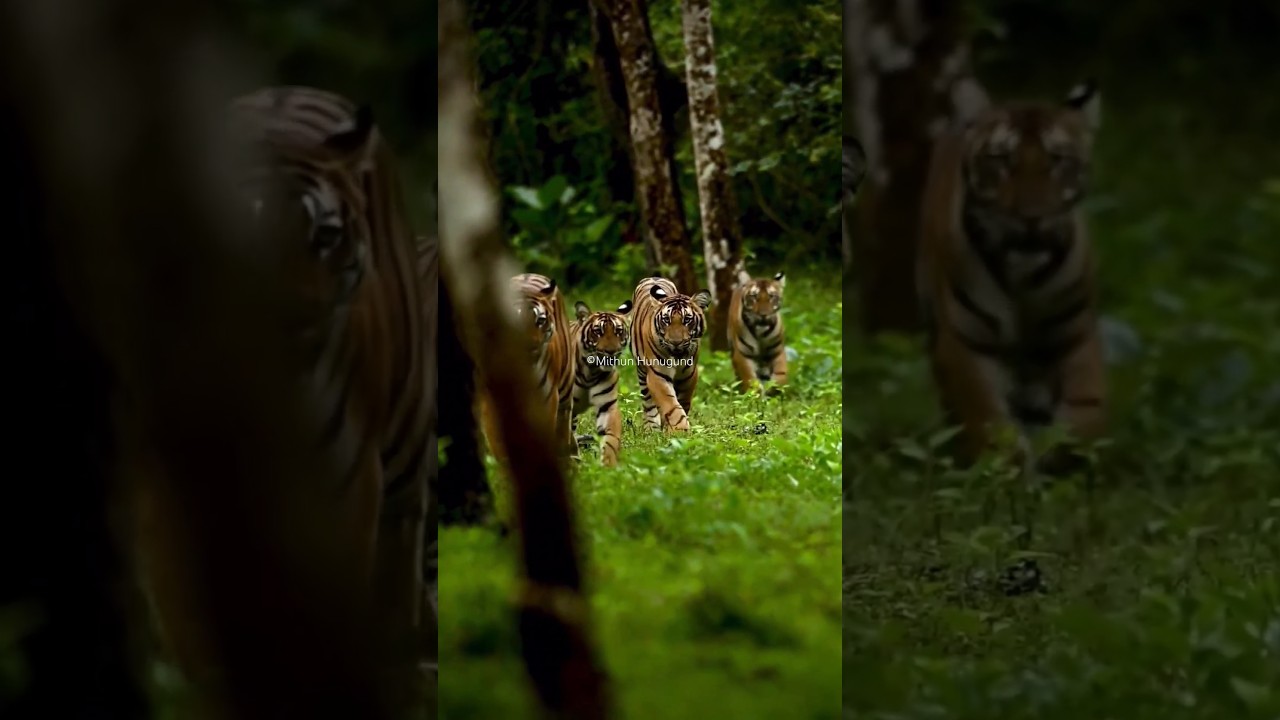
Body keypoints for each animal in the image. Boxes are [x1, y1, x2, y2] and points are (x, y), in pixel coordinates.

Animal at [478, 273, 577, 463]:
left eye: (540, 320)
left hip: (565, 388)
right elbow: (498, 442)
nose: (530, 346)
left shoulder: (548, 398)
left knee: (564, 422)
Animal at [567, 299, 633, 466]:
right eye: (598, 331)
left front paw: (608, 465)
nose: (611, 351)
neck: (590, 372)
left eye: (618, 331)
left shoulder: (607, 407)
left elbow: (610, 440)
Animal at [629, 277, 712, 432]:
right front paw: (679, 429)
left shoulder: (690, 375)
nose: (676, 342)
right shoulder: (657, 375)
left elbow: (683, 402)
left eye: (687, 319)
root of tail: (653, 277)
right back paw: (651, 429)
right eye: (666, 320)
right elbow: (670, 404)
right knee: (648, 403)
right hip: (642, 372)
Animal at [917, 80, 1105, 475]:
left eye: (1057, 159)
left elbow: (1087, 409)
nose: (1031, 217)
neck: (1023, 274)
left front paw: (1062, 457)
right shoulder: (966, 342)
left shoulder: (1076, 333)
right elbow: (987, 418)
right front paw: (1005, 473)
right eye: (1001, 159)